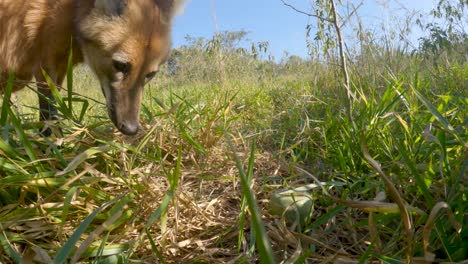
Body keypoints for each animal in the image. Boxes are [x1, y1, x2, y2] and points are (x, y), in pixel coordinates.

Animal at [0, 0, 183, 135]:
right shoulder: (45, 66)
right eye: (120, 65)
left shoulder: (59, 68)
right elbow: (50, 113)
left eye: (150, 75)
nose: (131, 129)